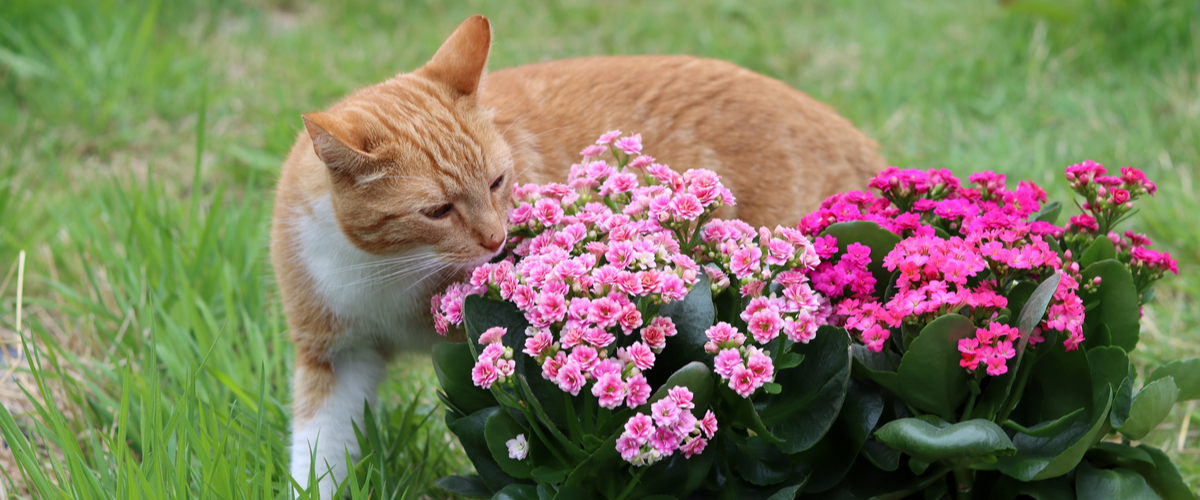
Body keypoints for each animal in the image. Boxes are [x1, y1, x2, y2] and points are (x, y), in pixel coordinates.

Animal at [274, 14, 892, 494]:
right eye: (437, 210)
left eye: (497, 182)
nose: (495, 240)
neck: (385, 267)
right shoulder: (336, 357)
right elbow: (318, 458)